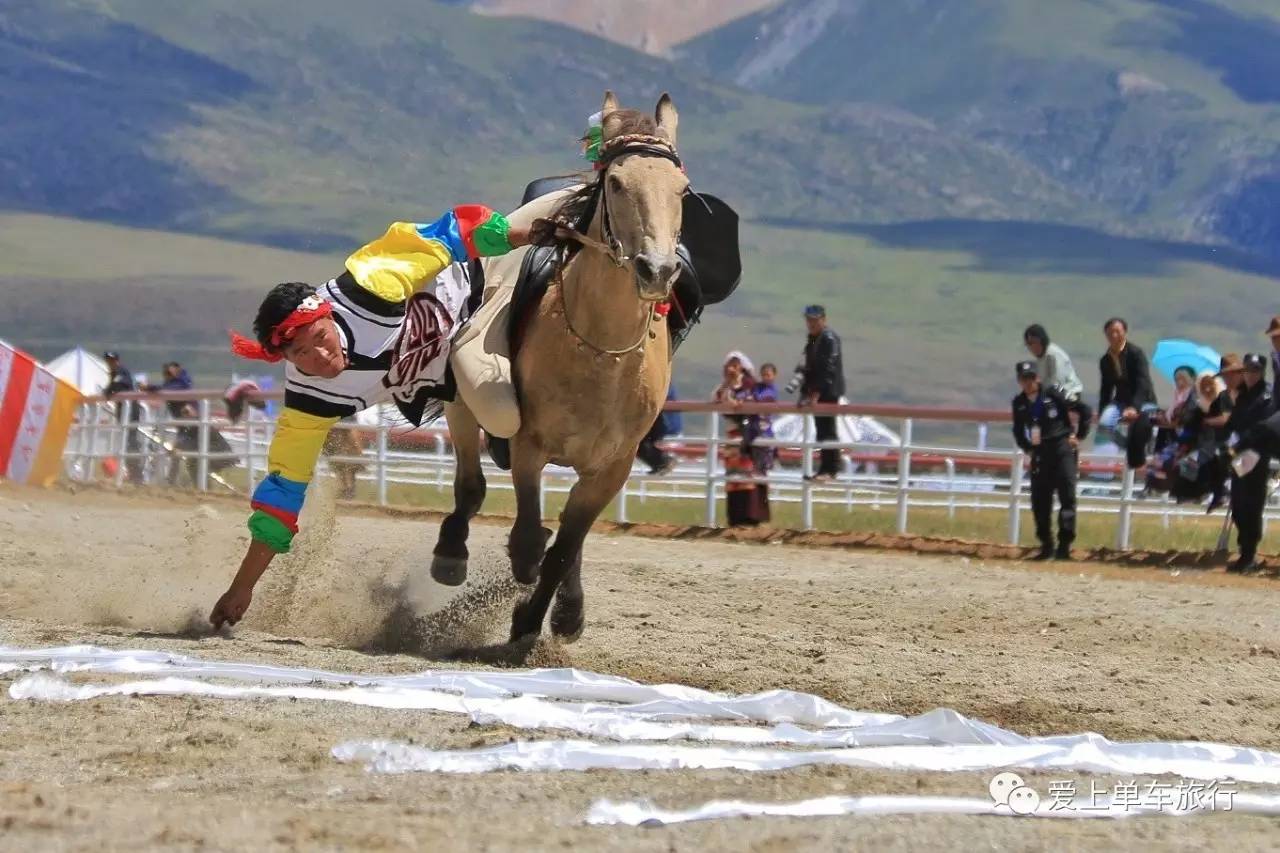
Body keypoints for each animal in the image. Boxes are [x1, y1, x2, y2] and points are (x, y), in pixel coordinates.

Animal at [430, 91, 691, 637]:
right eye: (616, 183)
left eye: (682, 189)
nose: (657, 270)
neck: (599, 353)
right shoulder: (529, 447)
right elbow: (531, 537)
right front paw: (524, 600)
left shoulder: (611, 468)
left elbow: (566, 547)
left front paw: (540, 619)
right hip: (464, 409)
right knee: (470, 487)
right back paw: (451, 552)